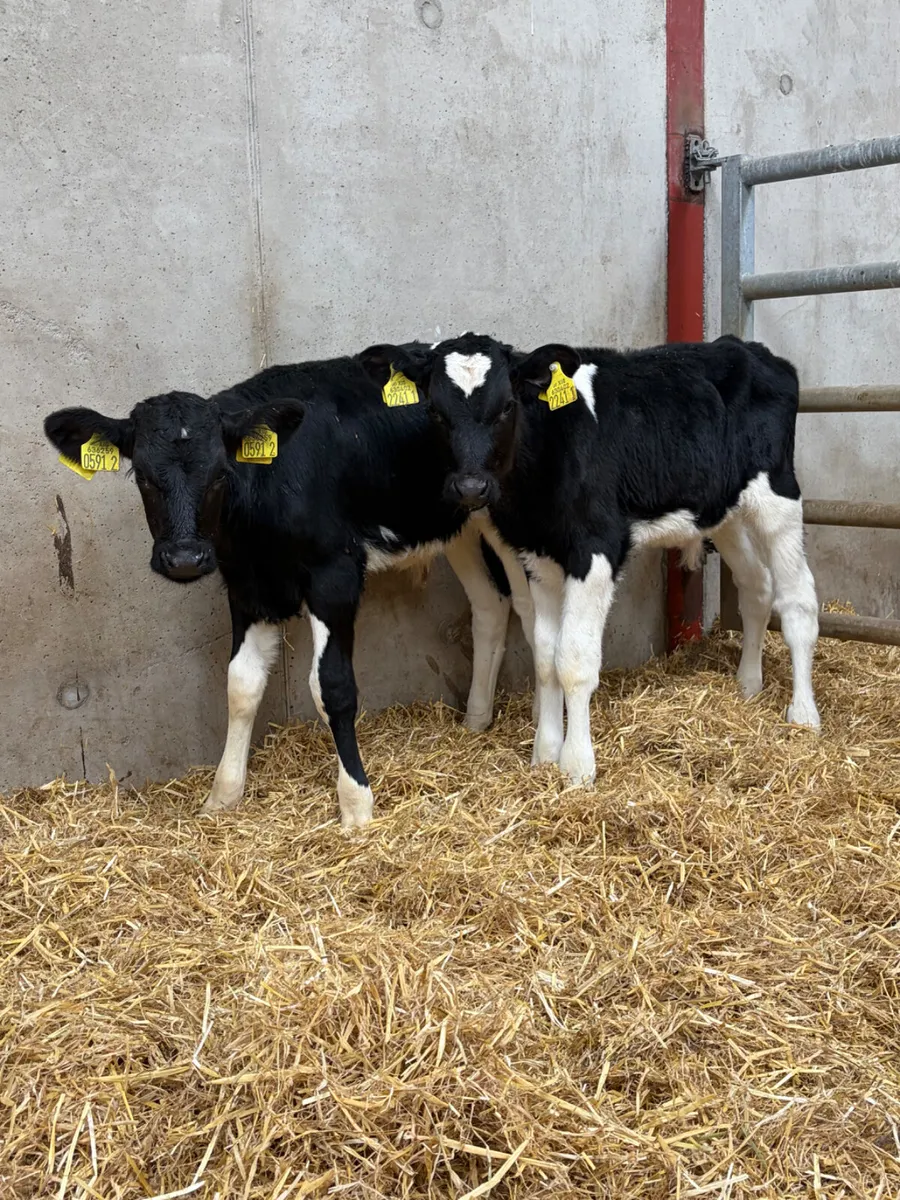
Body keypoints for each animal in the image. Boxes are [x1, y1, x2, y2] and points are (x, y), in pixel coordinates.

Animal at [44, 352, 536, 830]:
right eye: (143, 476)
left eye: (220, 474)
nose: (184, 558)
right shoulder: (247, 583)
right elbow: (241, 684)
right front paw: (222, 797)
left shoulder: (335, 573)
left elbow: (332, 686)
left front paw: (356, 805)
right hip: (459, 525)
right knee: (490, 605)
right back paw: (476, 720)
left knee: (530, 610)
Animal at [361, 333, 821, 788]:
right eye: (434, 411)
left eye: (507, 405)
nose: (471, 487)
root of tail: (747, 347)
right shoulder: (538, 557)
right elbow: (545, 657)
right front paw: (545, 755)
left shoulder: (596, 548)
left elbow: (574, 661)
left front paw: (577, 767)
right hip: (723, 509)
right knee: (757, 586)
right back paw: (748, 685)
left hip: (778, 494)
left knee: (798, 601)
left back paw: (803, 714)